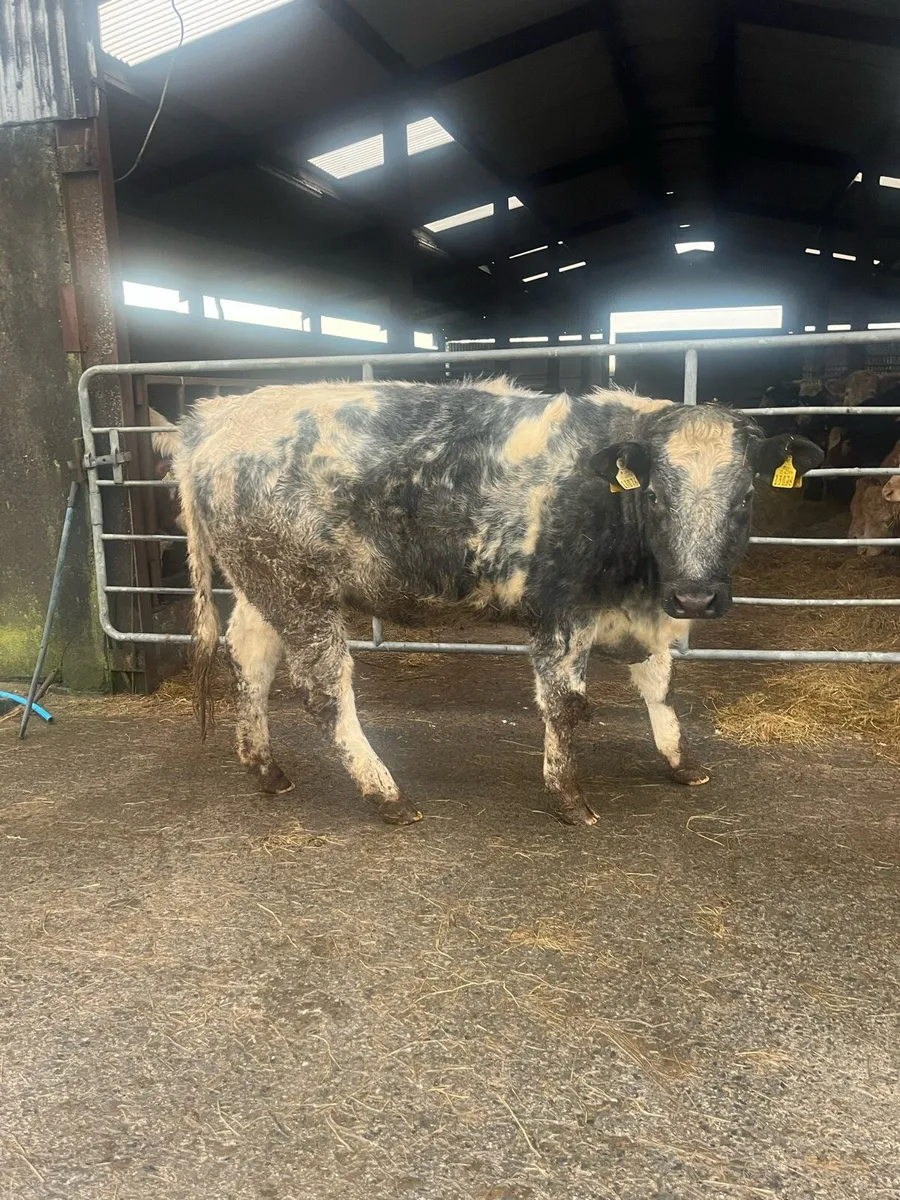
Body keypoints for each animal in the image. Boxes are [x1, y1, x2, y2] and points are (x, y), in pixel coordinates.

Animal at [170, 380, 823, 827]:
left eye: (745, 498)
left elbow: (659, 686)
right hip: (300, 592)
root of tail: (218, 418)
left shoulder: (645, 610)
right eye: (658, 496)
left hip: (262, 584)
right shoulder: (561, 612)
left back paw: (266, 768)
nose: (695, 595)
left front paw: (680, 763)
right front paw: (569, 797)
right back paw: (386, 793)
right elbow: (566, 707)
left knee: (250, 660)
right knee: (325, 691)